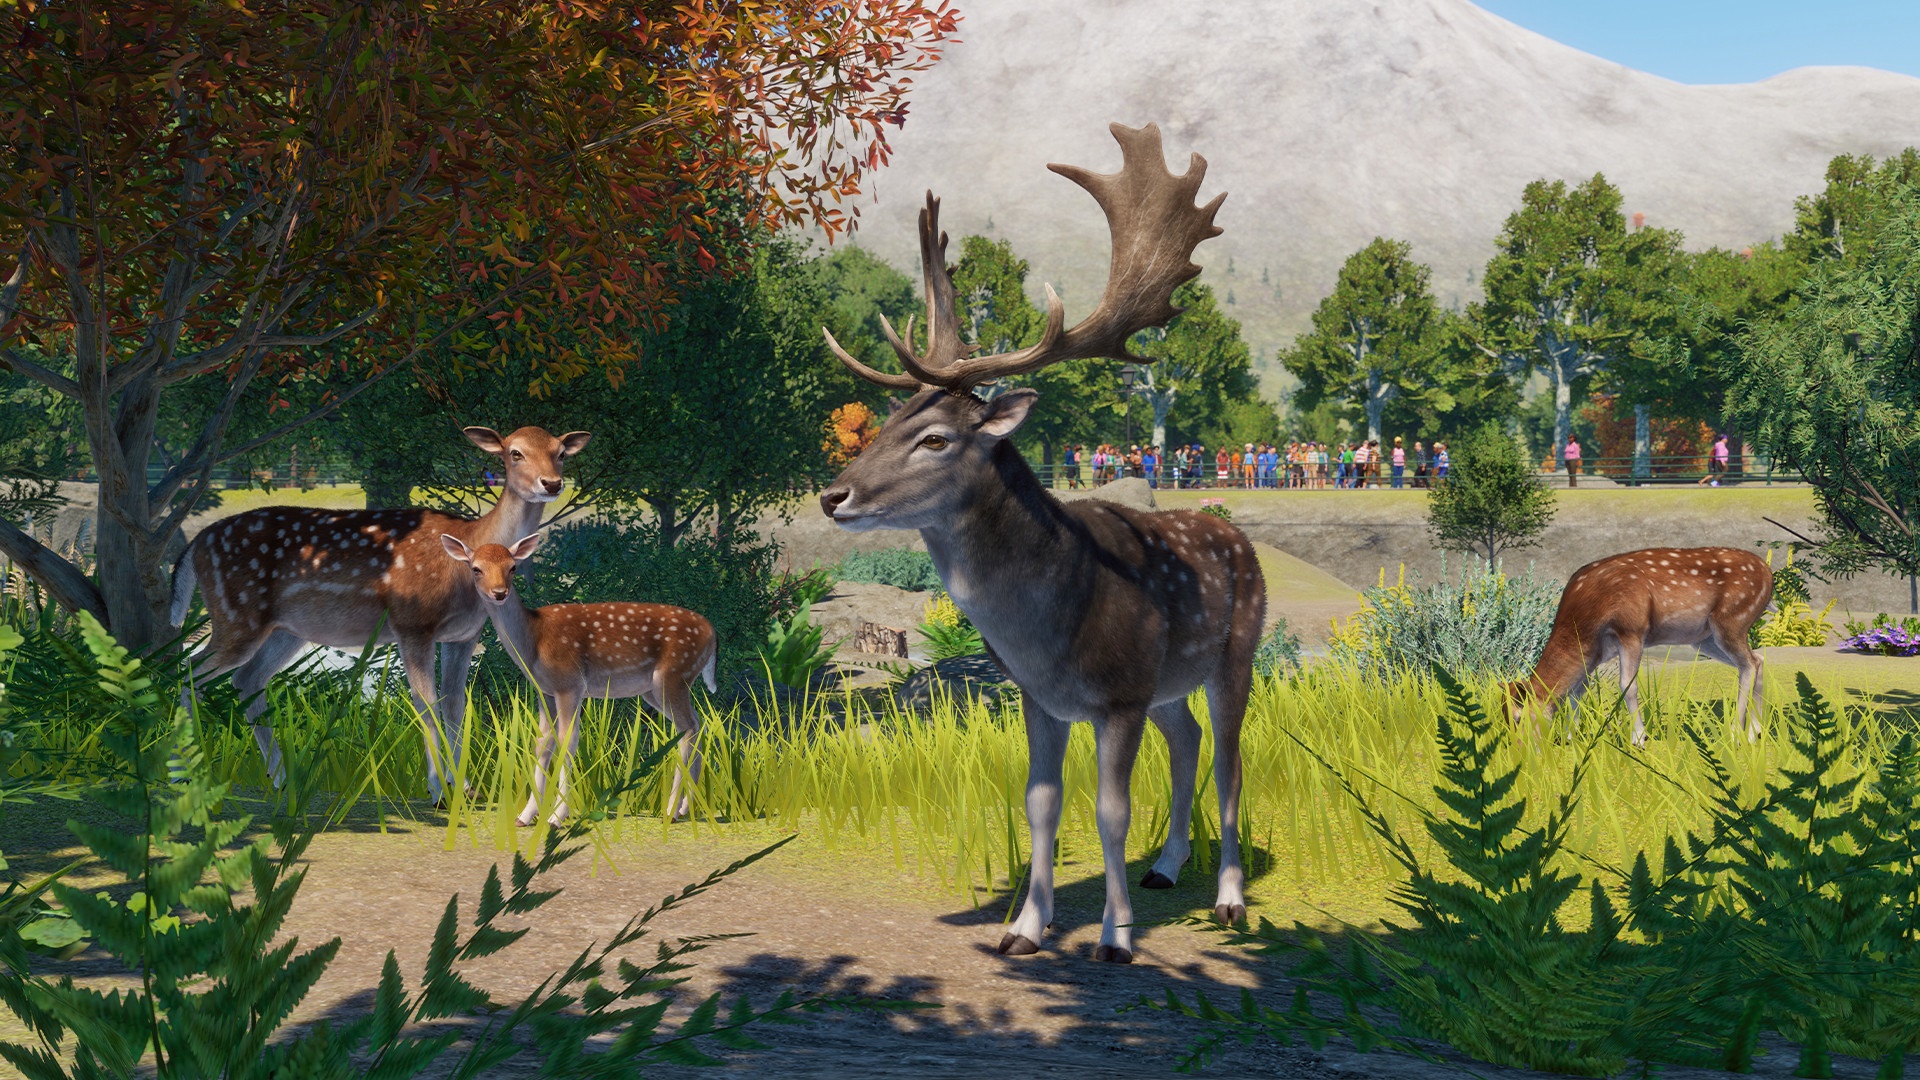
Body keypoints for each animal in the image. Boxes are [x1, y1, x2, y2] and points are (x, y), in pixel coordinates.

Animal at [170, 426, 590, 804]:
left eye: (560, 452)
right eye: (514, 452)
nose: (551, 483)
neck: (468, 551)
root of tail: (194, 545)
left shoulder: (464, 635)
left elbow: (455, 703)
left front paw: (466, 787)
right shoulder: (412, 623)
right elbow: (426, 702)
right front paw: (438, 790)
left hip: (287, 629)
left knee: (246, 679)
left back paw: (280, 779)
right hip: (236, 614)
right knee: (187, 670)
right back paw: (185, 775)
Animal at [439, 532, 718, 826]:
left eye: (512, 567)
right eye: (476, 568)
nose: (500, 592)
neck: (533, 641)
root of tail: (713, 634)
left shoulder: (569, 683)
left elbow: (567, 741)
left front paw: (556, 816)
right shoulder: (545, 691)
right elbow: (543, 743)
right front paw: (526, 816)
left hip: (673, 675)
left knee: (688, 728)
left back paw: (672, 810)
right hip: (656, 689)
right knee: (697, 724)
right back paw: (686, 808)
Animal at [817, 123, 1263, 965]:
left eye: (935, 437)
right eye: (888, 423)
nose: (833, 495)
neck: (1052, 629)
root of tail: (1230, 528)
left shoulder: (1118, 696)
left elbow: (1111, 811)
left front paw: (1115, 938)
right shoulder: (1040, 697)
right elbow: (1040, 802)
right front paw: (1023, 927)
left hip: (1234, 654)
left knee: (1229, 760)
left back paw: (1227, 898)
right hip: (1168, 683)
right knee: (1187, 738)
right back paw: (1166, 867)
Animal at [1505, 546, 1774, 746]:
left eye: (1517, 717)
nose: (1518, 750)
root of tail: (1768, 574)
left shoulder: (1631, 630)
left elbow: (1627, 685)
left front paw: (1638, 739)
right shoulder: (1597, 653)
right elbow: (1577, 691)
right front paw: (1573, 737)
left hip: (1732, 620)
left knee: (1749, 664)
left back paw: (1735, 734)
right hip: (1704, 639)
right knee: (1757, 660)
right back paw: (1755, 732)